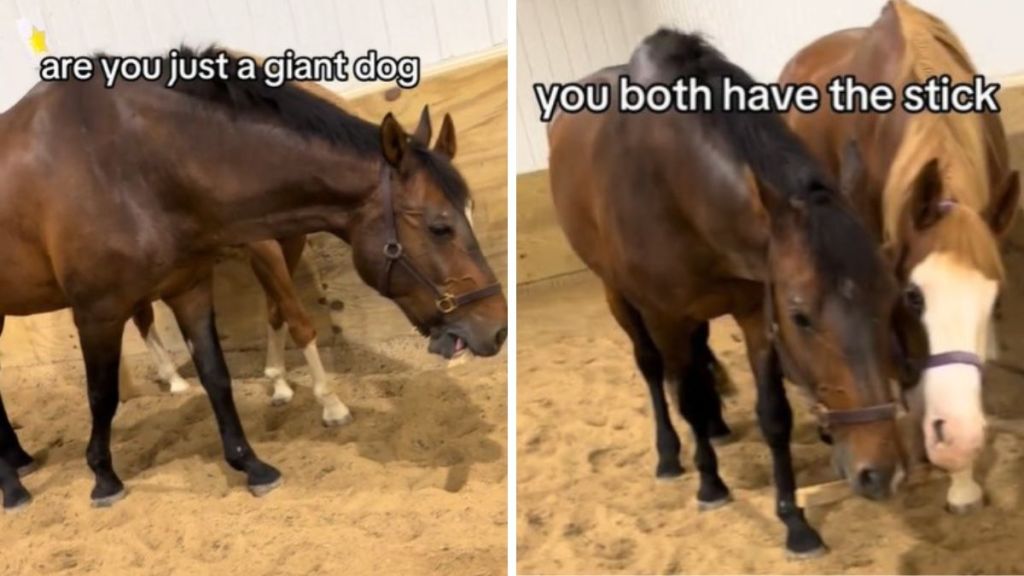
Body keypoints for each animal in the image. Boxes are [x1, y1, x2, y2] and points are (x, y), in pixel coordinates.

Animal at [0, 47, 507, 508]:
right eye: (440, 227)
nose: (498, 329)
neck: (126, 164)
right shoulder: (96, 313)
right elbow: (102, 395)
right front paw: (104, 478)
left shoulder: (189, 290)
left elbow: (217, 376)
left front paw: (252, 464)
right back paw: (13, 485)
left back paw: (18, 462)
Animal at [544, 29, 913, 553]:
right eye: (801, 316)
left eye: (889, 301)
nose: (881, 474)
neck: (674, 183)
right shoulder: (667, 318)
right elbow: (689, 397)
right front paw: (710, 484)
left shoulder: (755, 311)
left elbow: (773, 415)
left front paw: (794, 520)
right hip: (618, 295)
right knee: (653, 369)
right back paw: (670, 454)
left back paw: (717, 429)